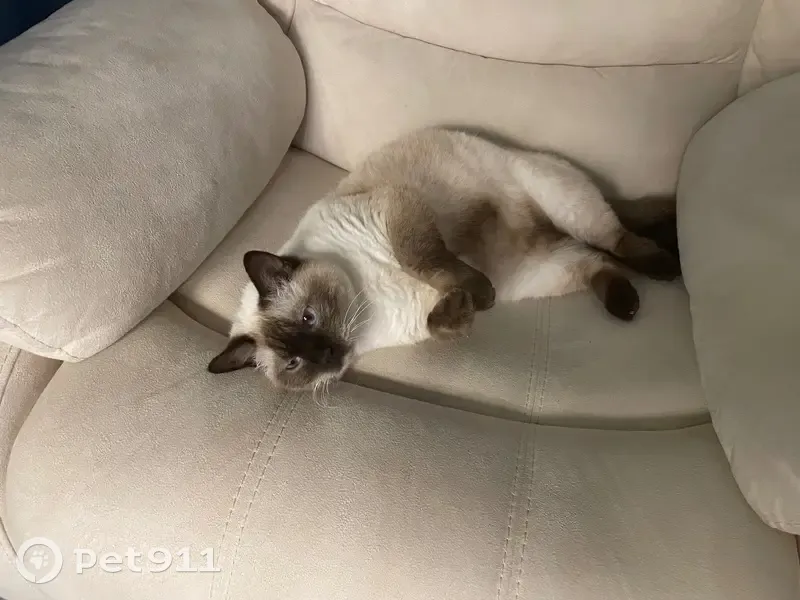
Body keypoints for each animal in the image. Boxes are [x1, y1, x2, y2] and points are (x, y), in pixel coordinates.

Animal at [207, 126, 680, 391]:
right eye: (293, 364)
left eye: (308, 317)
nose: (327, 355)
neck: (367, 300)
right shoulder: (417, 317)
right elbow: (441, 320)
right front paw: (468, 308)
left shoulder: (401, 214)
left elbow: (425, 261)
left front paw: (479, 296)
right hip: (542, 272)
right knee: (599, 263)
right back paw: (627, 304)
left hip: (565, 204)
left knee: (619, 238)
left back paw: (666, 268)